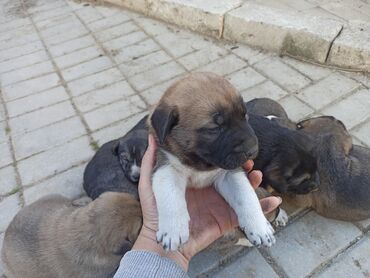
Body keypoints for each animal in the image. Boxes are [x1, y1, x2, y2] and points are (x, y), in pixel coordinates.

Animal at [147, 71, 274, 250]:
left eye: (245, 116)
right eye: (214, 129)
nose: (253, 150)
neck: (199, 163)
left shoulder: (230, 174)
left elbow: (246, 196)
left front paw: (259, 226)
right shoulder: (166, 167)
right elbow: (170, 197)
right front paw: (173, 230)